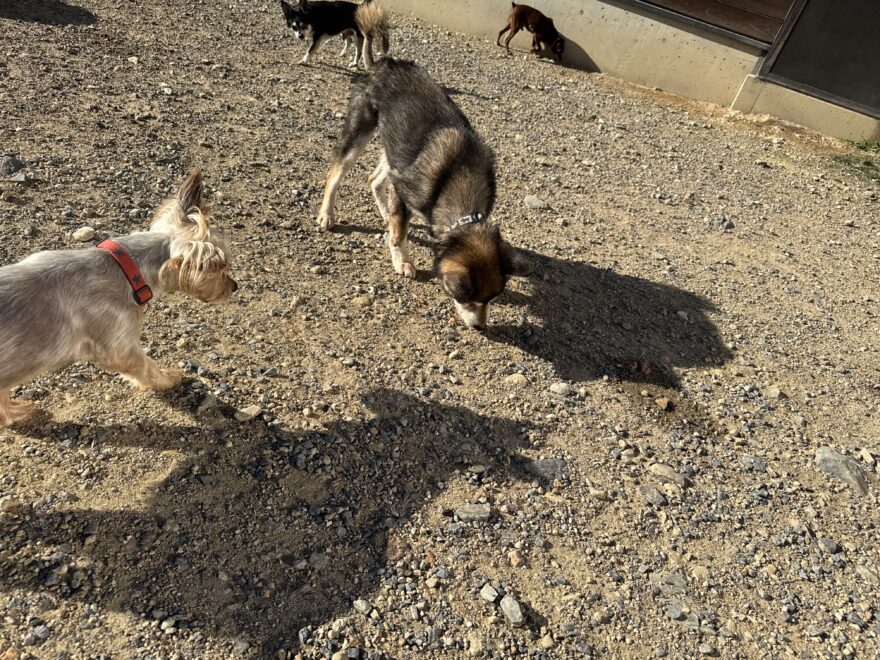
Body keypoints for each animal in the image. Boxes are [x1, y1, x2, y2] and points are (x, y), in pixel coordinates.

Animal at [0, 170, 238, 426]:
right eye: (221, 269)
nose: (235, 287)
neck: (126, 268)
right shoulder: (119, 344)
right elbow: (146, 366)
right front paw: (168, 377)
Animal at [317, 9, 530, 329]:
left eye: (493, 298)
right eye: (464, 296)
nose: (480, 326)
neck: (458, 176)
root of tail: (382, 63)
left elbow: (397, 221)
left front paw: (393, 232)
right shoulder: (403, 192)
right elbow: (399, 235)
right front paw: (402, 260)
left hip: (396, 146)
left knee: (374, 178)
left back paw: (383, 213)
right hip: (360, 131)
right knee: (336, 172)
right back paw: (327, 214)